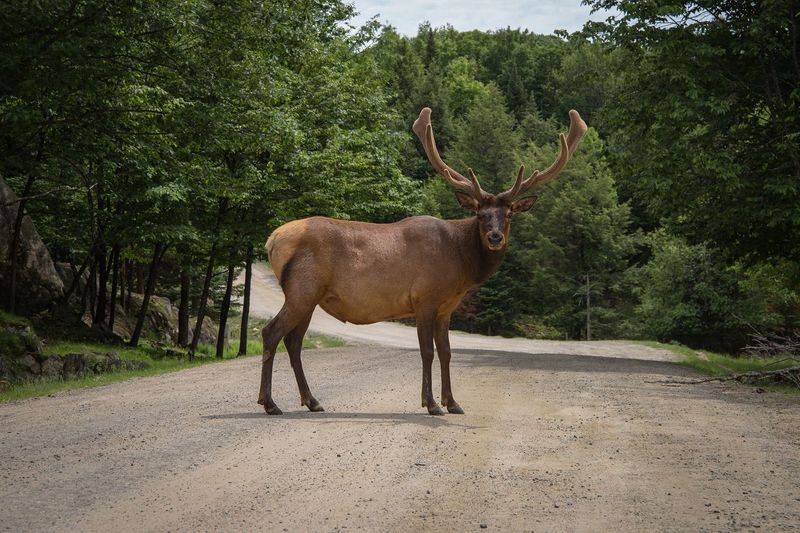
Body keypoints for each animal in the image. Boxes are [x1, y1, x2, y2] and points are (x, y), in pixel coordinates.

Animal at [260, 107, 584, 416]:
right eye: (480, 214)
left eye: (509, 215)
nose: (495, 237)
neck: (461, 264)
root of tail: (272, 239)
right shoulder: (424, 298)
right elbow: (427, 351)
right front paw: (431, 404)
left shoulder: (446, 307)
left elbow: (447, 352)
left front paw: (453, 402)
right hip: (302, 289)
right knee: (271, 332)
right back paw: (269, 403)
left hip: (310, 296)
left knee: (294, 341)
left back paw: (312, 401)